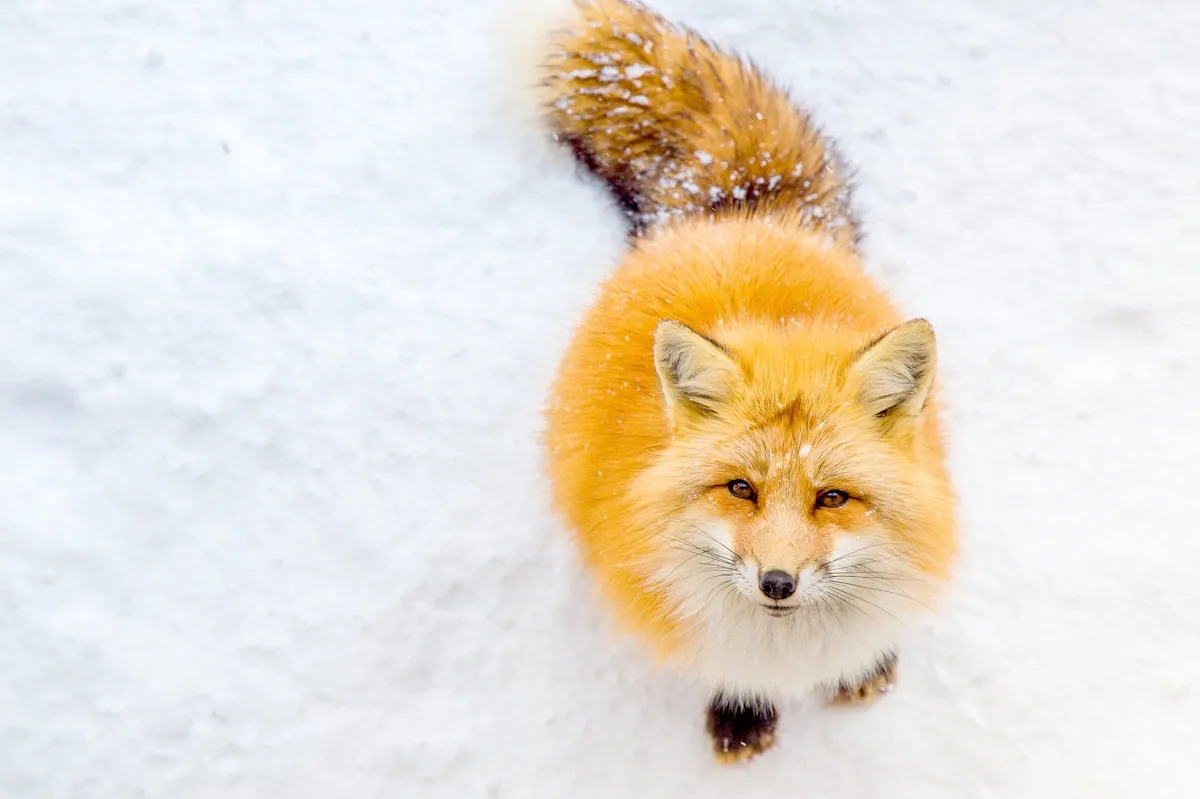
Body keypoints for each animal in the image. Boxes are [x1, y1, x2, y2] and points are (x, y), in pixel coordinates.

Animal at [537, 0, 958, 762]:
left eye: (833, 497)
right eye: (740, 488)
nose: (778, 583)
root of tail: (741, 213)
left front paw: (865, 662)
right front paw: (742, 708)